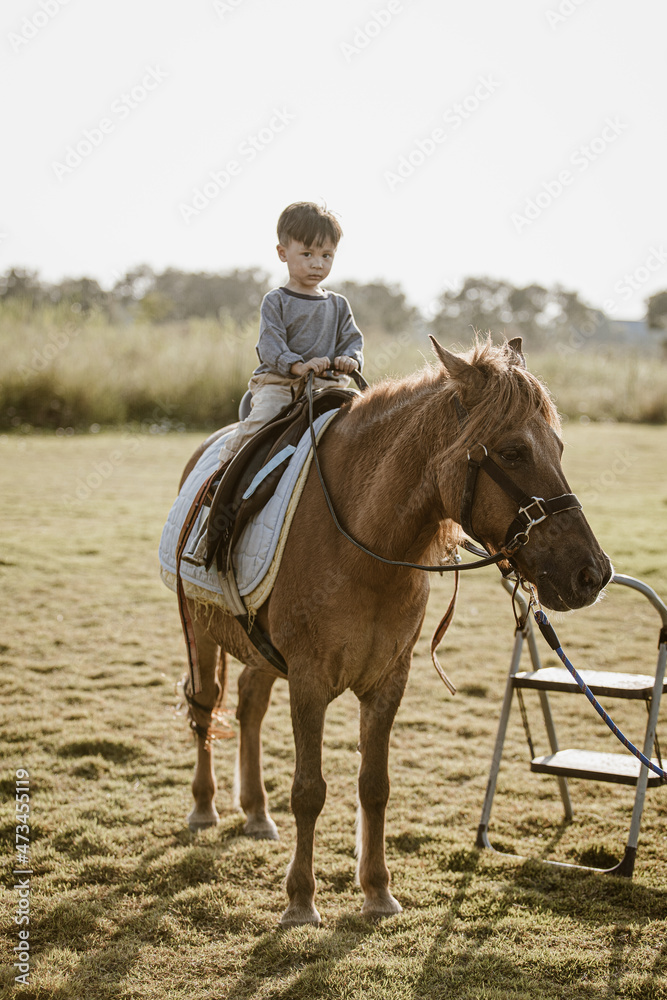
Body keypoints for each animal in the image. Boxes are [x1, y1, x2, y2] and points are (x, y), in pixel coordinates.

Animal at [175, 338, 612, 928]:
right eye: (514, 451)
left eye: (558, 448)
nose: (593, 574)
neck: (363, 546)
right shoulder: (309, 681)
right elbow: (309, 790)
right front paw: (301, 901)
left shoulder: (388, 682)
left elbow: (375, 787)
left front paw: (377, 892)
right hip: (200, 632)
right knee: (205, 705)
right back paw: (204, 806)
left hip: (263, 654)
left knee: (248, 705)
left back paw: (256, 813)